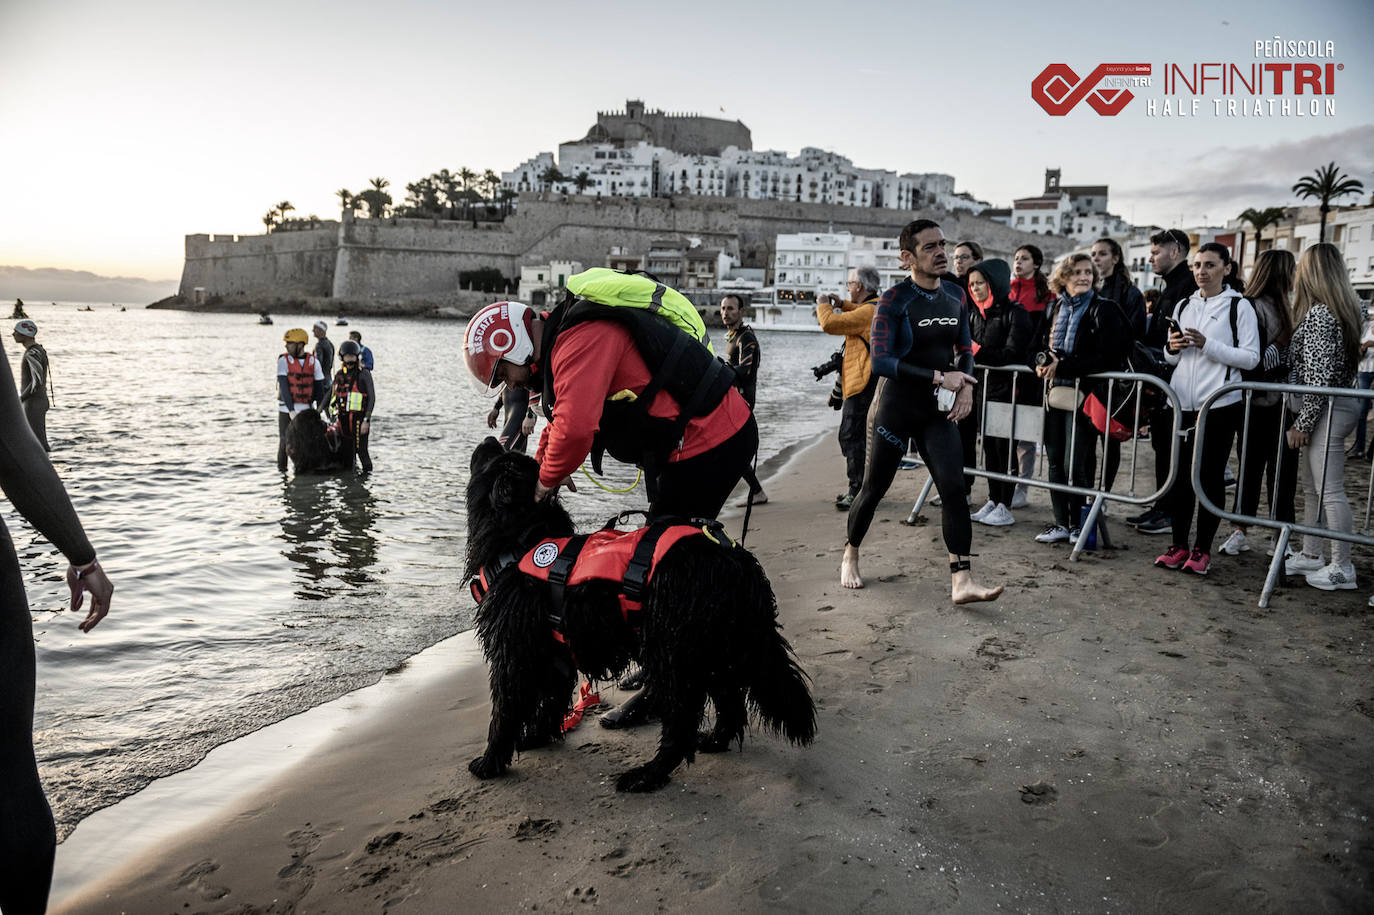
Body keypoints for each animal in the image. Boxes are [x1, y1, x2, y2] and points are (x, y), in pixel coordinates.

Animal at [467, 436, 807, 791]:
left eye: (496, 458)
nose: (490, 438)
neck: (521, 540)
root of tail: (736, 562)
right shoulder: (555, 651)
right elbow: (551, 700)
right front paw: (537, 736)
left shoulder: (513, 652)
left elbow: (505, 712)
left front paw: (490, 762)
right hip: (715, 649)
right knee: (730, 705)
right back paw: (713, 741)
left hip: (675, 652)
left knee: (681, 722)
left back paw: (647, 774)